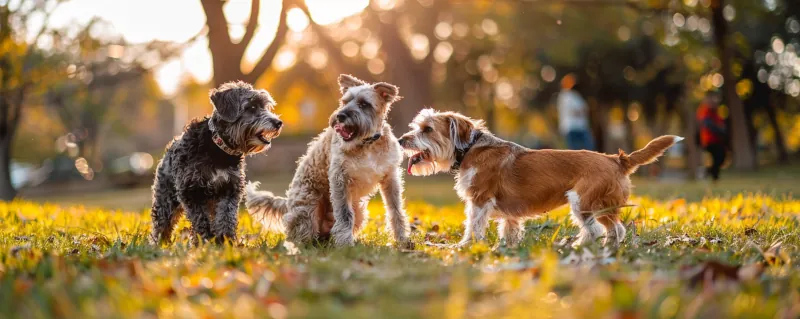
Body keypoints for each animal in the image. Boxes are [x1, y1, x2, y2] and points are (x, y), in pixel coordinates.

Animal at [148, 82, 282, 245]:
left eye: (265, 106)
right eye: (251, 107)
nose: (278, 123)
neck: (218, 150)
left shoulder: (230, 189)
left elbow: (226, 217)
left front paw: (226, 240)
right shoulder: (191, 191)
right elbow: (201, 219)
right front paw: (205, 240)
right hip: (166, 201)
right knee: (162, 224)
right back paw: (159, 244)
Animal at [245, 74, 410, 248]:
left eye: (364, 104)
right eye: (345, 101)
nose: (340, 116)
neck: (367, 144)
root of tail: (288, 204)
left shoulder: (390, 178)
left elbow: (395, 211)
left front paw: (402, 240)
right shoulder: (340, 180)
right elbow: (345, 215)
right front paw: (345, 245)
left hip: (359, 210)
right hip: (307, 209)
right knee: (301, 235)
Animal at [398, 109, 680, 248]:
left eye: (427, 129)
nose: (401, 140)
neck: (469, 149)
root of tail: (616, 159)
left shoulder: (479, 200)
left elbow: (473, 227)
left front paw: (465, 246)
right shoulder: (509, 213)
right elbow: (510, 231)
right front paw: (506, 250)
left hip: (584, 202)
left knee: (600, 229)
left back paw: (581, 248)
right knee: (614, 229)